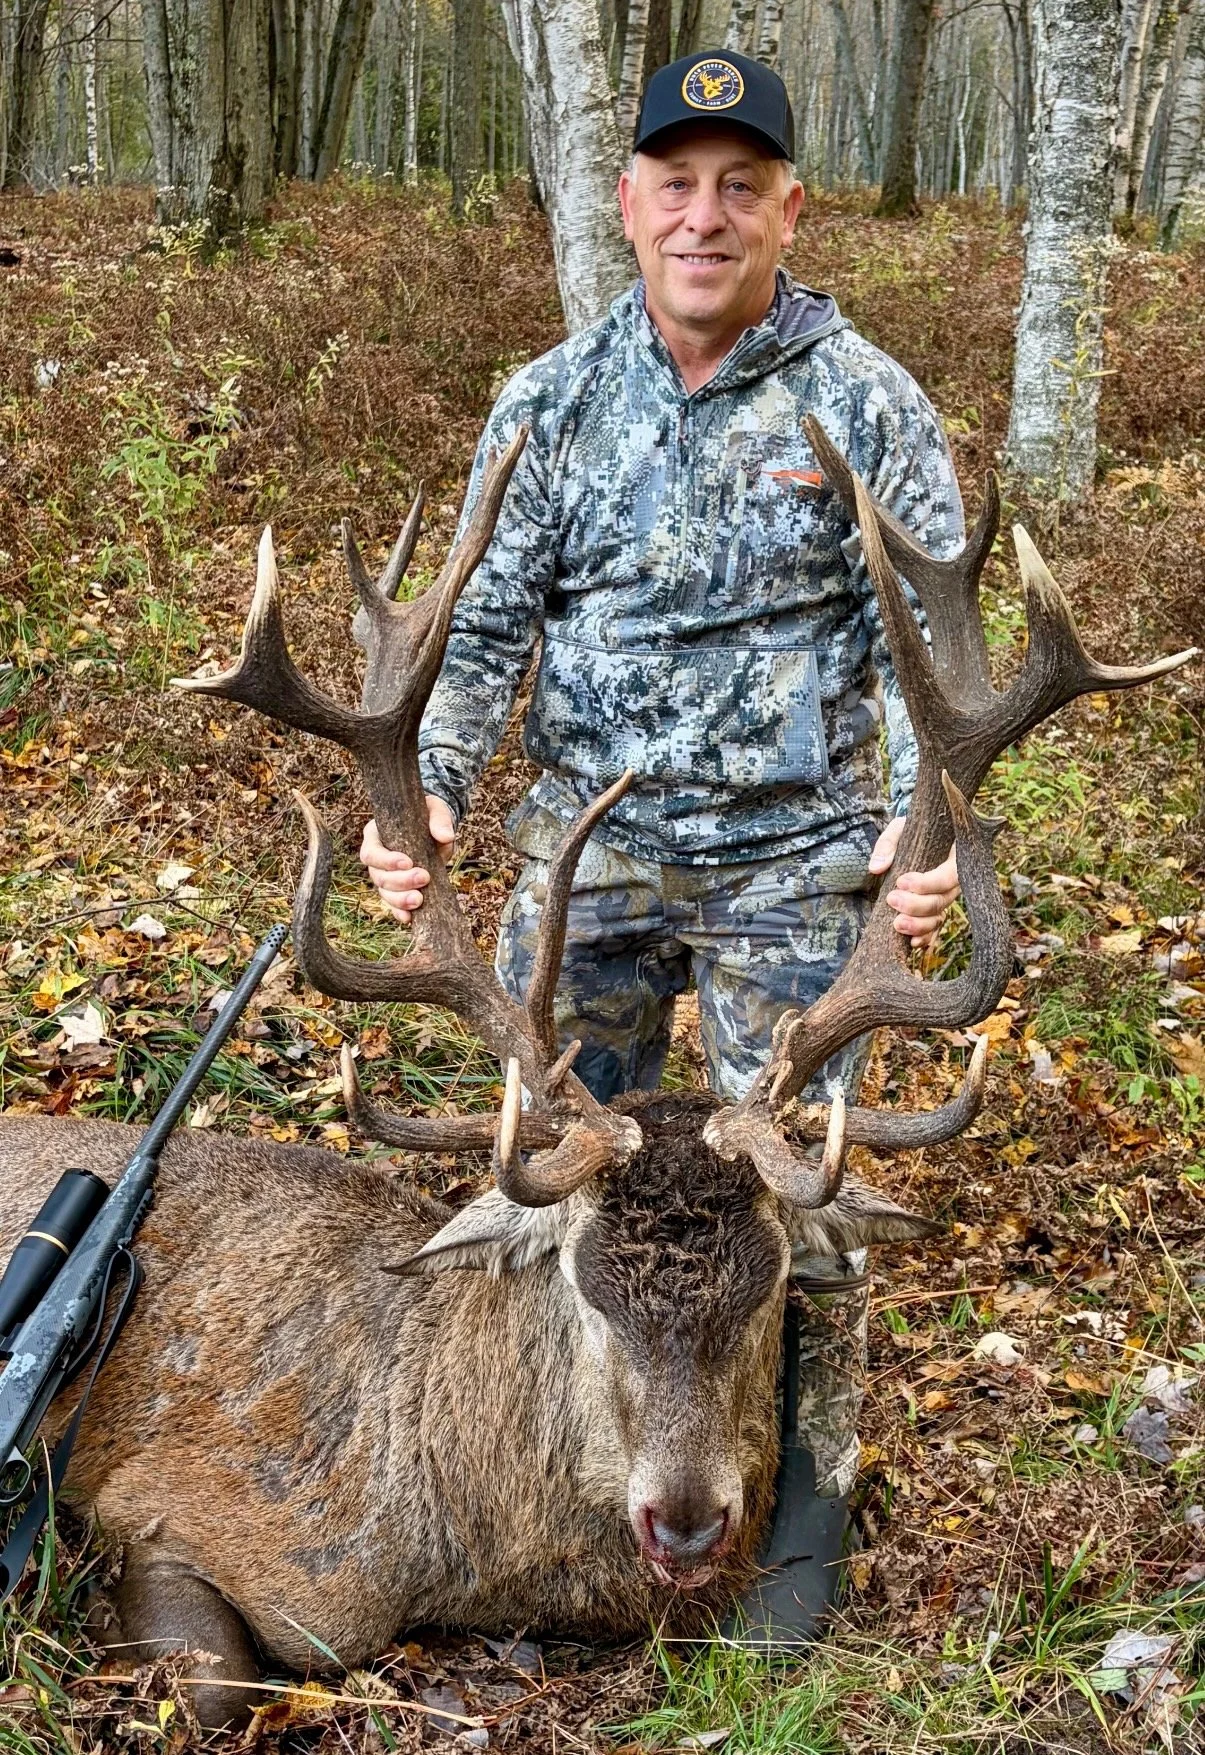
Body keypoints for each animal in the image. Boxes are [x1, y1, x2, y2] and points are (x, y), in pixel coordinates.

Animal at [0, 419, 1191, 1732]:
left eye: (770, 1287)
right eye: (585, 1286)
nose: (686, 1522)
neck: (462, 1547)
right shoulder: (177, 1507)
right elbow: (209, 1680)